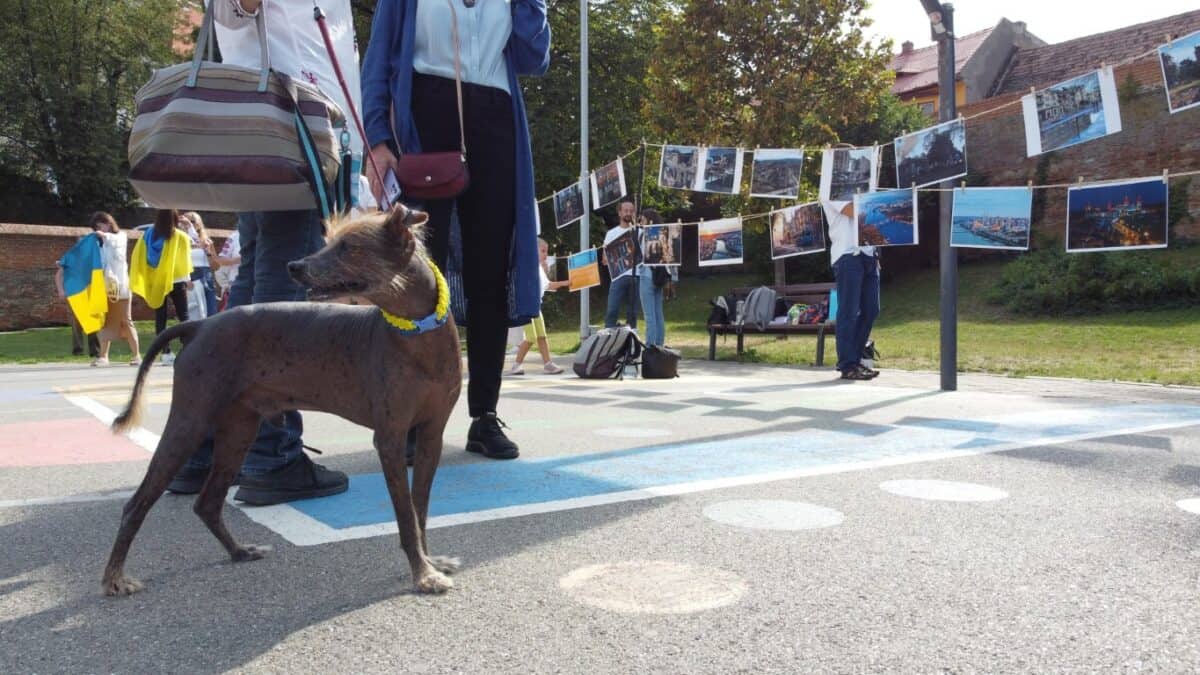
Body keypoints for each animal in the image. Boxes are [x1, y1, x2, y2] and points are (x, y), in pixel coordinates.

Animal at [103, 205, 463, 593]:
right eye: (328, 242)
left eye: (349, 248)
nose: (294, 266)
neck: (417, 336)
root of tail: (200, 326)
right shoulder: (390, 438)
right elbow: (405, 515)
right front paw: (423, 573)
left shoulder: (430, 436)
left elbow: (420, 508)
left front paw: (430, 561)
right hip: (189, 423)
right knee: (136, 505)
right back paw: (115, 578)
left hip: (238, 430)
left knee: (207, 503)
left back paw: (239, 552)